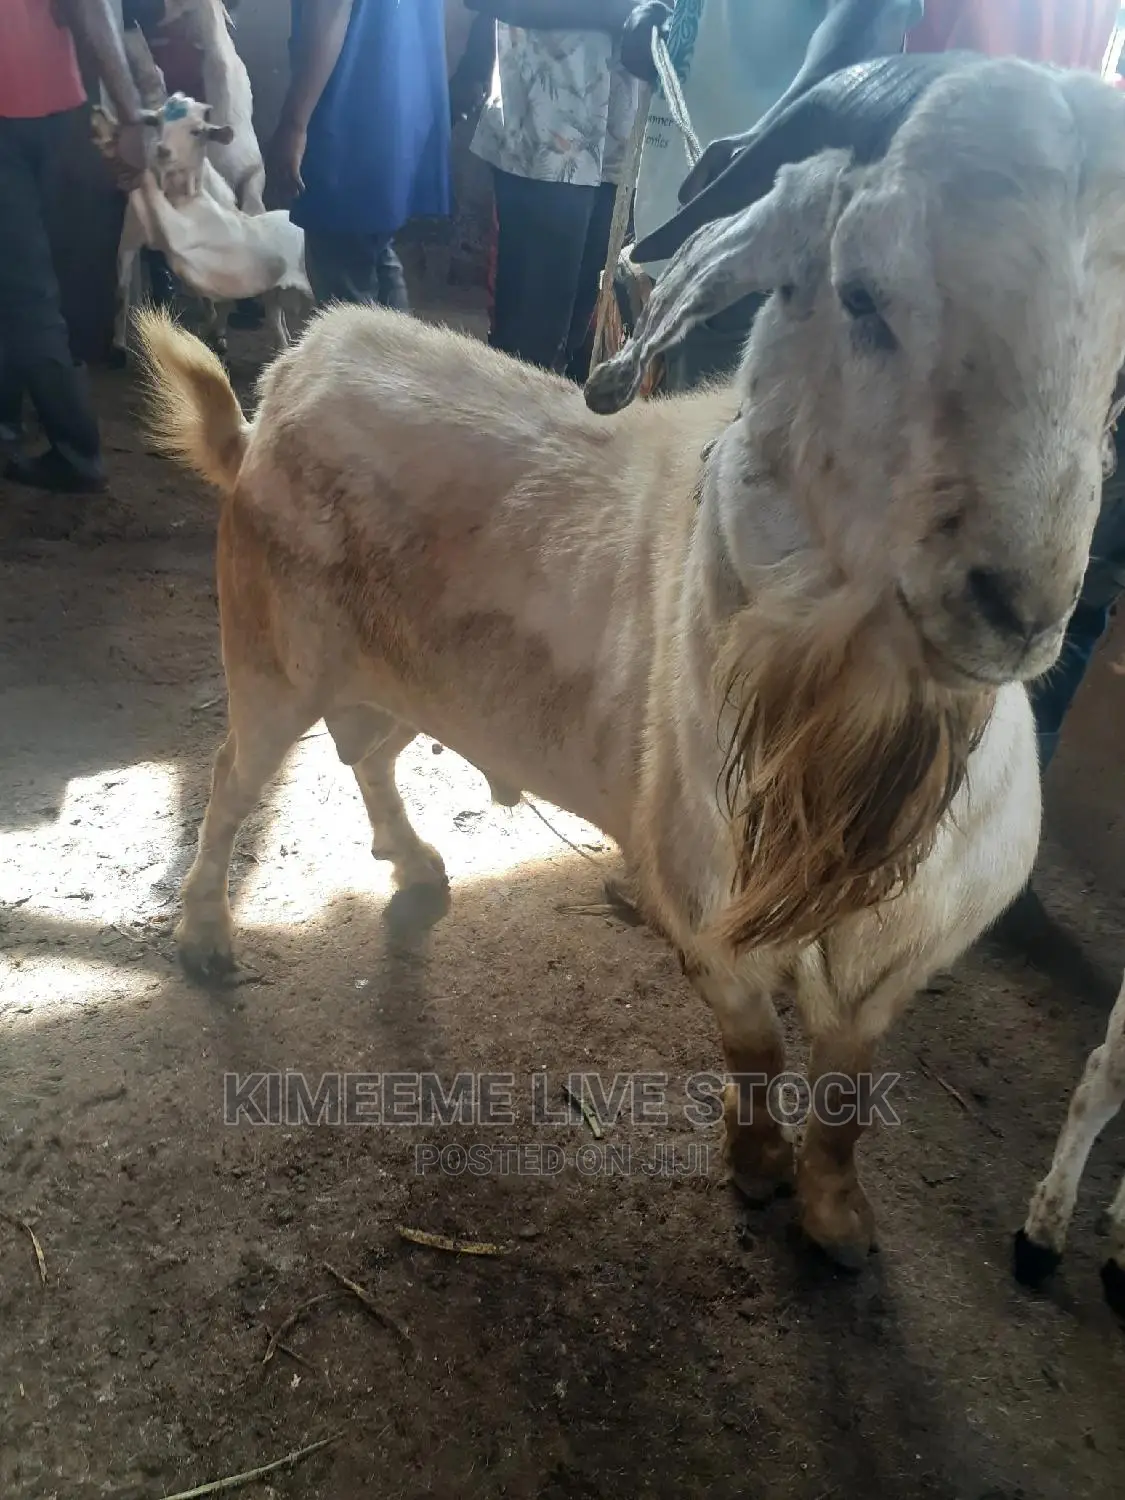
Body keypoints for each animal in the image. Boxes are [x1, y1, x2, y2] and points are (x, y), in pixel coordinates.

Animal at [92, 94, 311, 357]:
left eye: (197, 131)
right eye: (156, 121)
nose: (162, 150)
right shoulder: (130, 237)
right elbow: (121, 291)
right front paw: (117, 343)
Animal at [136, 59, 1125, 1271]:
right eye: (860, 294)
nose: (1019, 608)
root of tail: (275, 393)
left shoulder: (894, 960)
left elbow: (846, 1090)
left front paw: (837, 1218)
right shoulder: (704, 909)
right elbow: (757, 1053)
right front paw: (757, 1169)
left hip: (410, 671)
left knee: (367, 754)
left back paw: (413, 864)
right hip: (274, 653)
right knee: (234, 781)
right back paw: (205, 937)